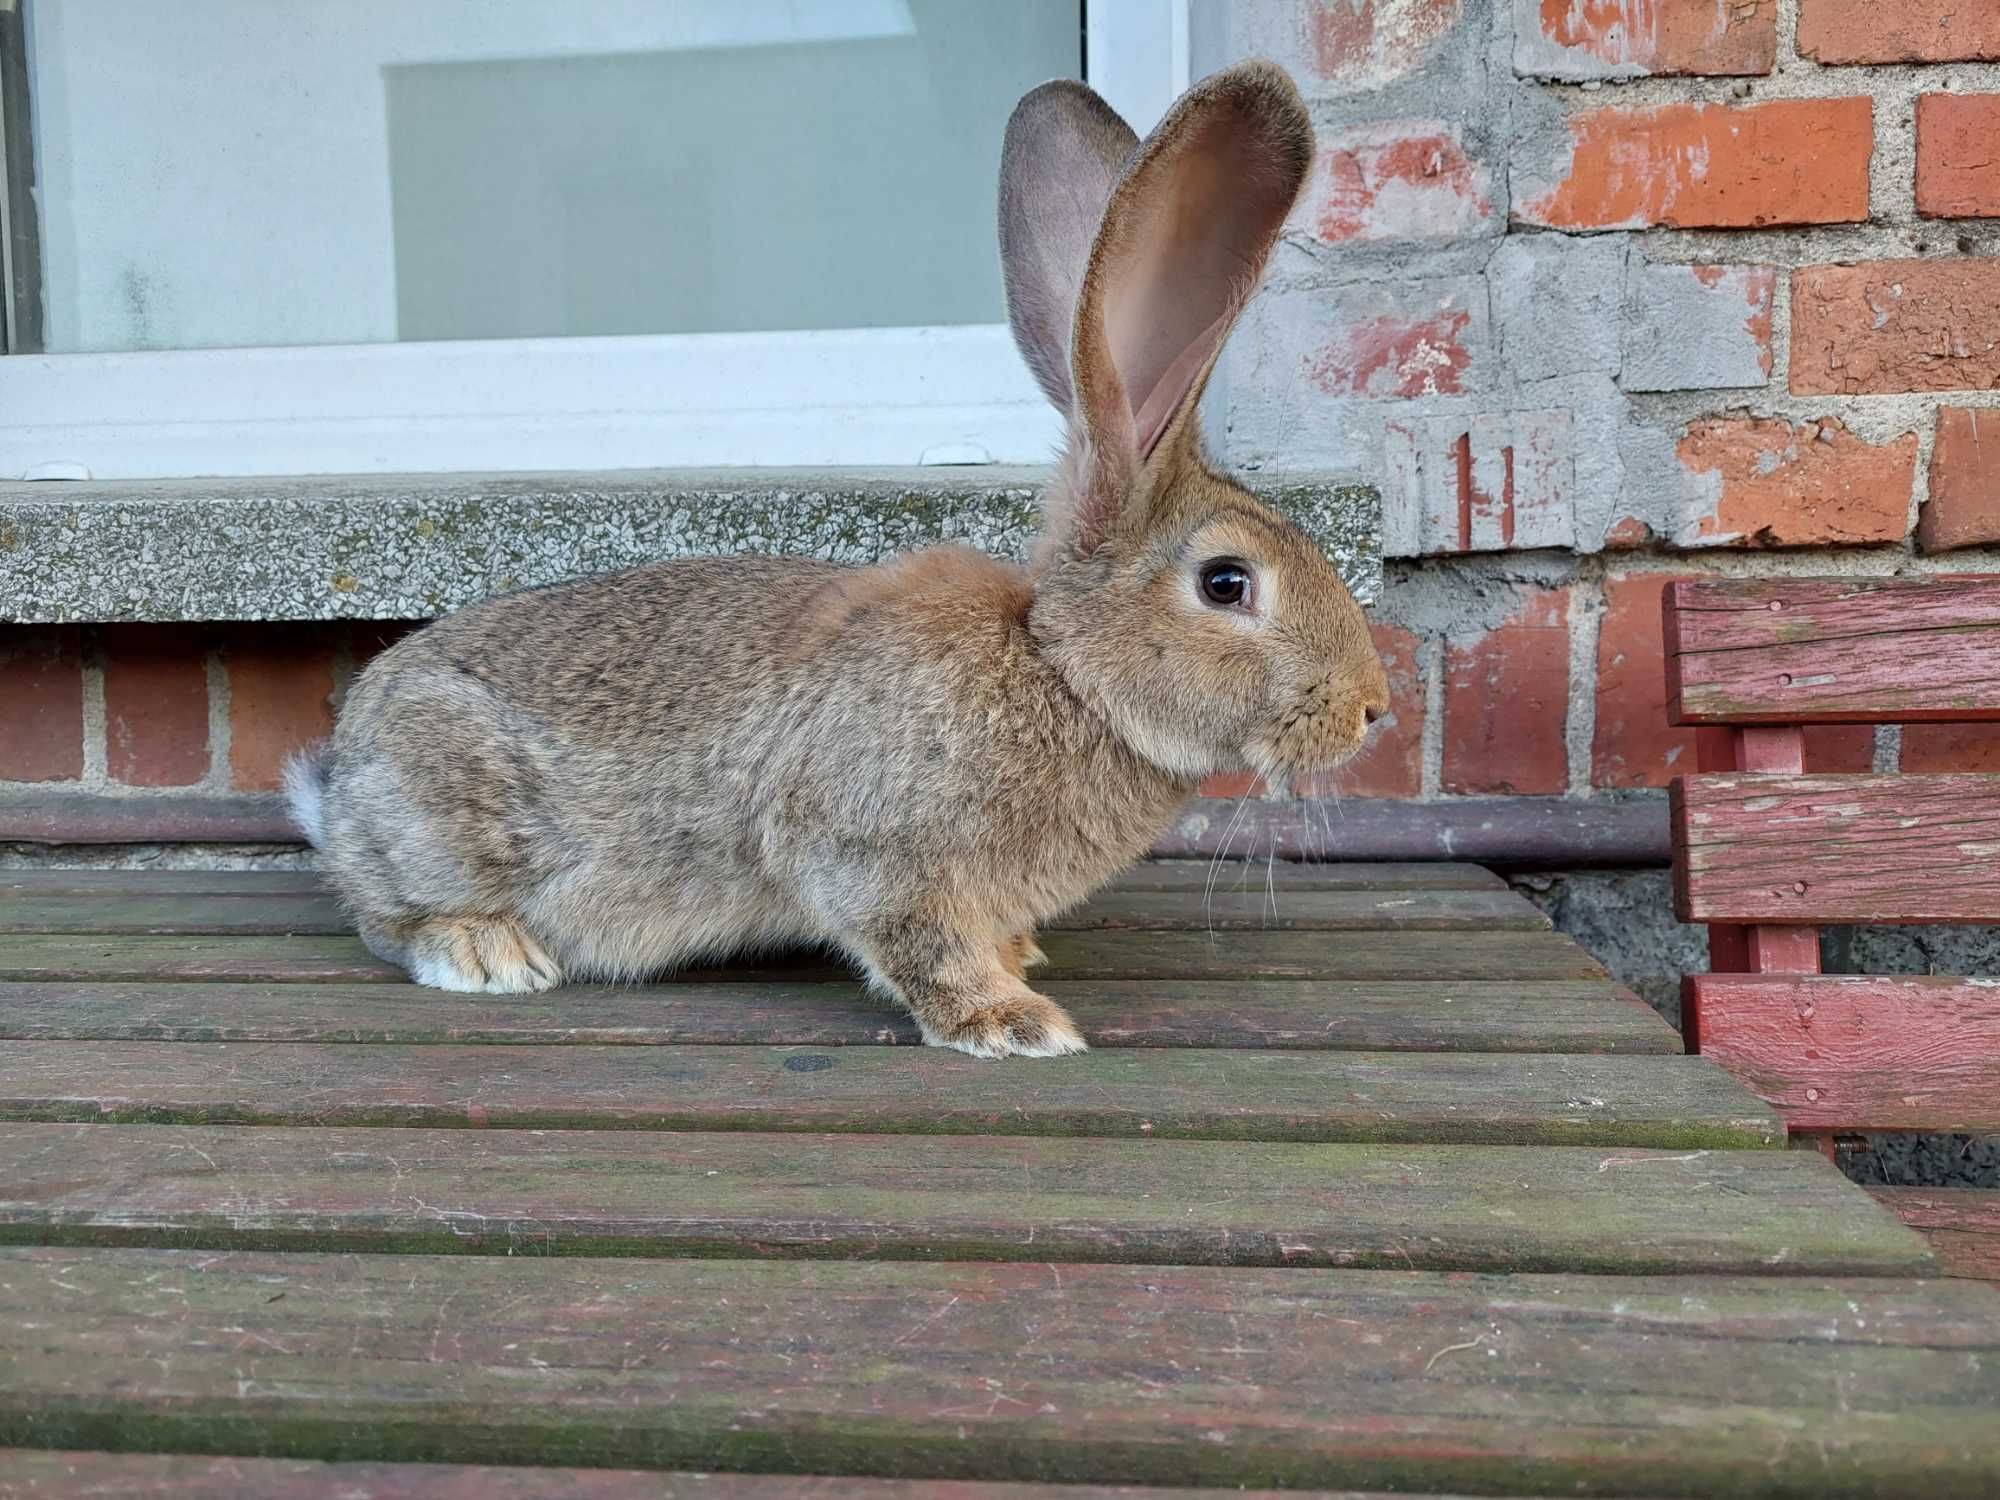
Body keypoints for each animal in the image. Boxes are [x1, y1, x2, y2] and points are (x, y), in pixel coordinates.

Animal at [290, 61, 1392, 1056]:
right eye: (1225, 583)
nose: (1374, 709)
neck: (1062, 670)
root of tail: (340, 781)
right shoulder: (871, 848)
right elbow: (917, 940)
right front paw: (1009, 1020)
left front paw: (1021, 961)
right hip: (443, 821)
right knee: (392, 917)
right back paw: (485, 953)